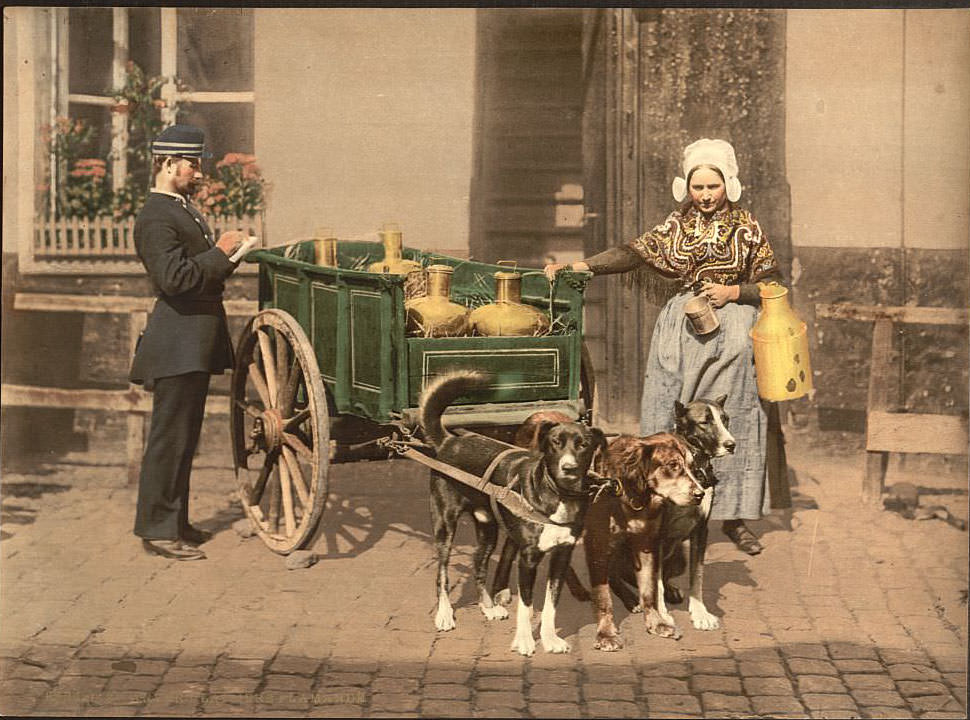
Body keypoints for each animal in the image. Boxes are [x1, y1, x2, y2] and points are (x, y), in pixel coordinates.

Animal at [420, 372, 600, 660]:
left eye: (583, 445)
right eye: (555, 444)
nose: (569, 468)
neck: (558, 495)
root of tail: (450, 441)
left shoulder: (561, 556)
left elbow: (551, 603)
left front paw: (550, 639)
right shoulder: (527, 559)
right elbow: (525, 606)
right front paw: (525, 641)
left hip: (488, 528)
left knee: (478, 563)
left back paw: (488, 606)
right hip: (445, 525)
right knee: (442, 572)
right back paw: (445, 614)